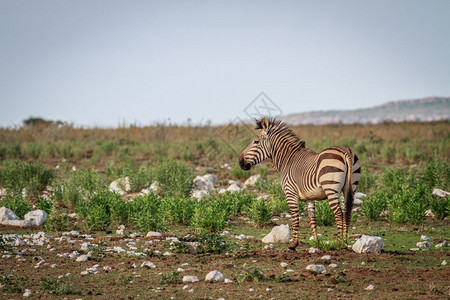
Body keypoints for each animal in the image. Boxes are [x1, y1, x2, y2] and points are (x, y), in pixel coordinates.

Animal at [239, 117, 362, 251]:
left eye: (256, 142)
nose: (240, 162)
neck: (287, 160)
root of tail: (345, 151)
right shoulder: (310, 198)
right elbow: (312, 219)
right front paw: (316, 242)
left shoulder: (290, 193)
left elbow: (295, 218)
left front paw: (293, 244)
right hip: (351, 187)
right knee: (347, 212)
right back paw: (345, 242)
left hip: (331, 188)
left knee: (339, 214)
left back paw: (339, 243)